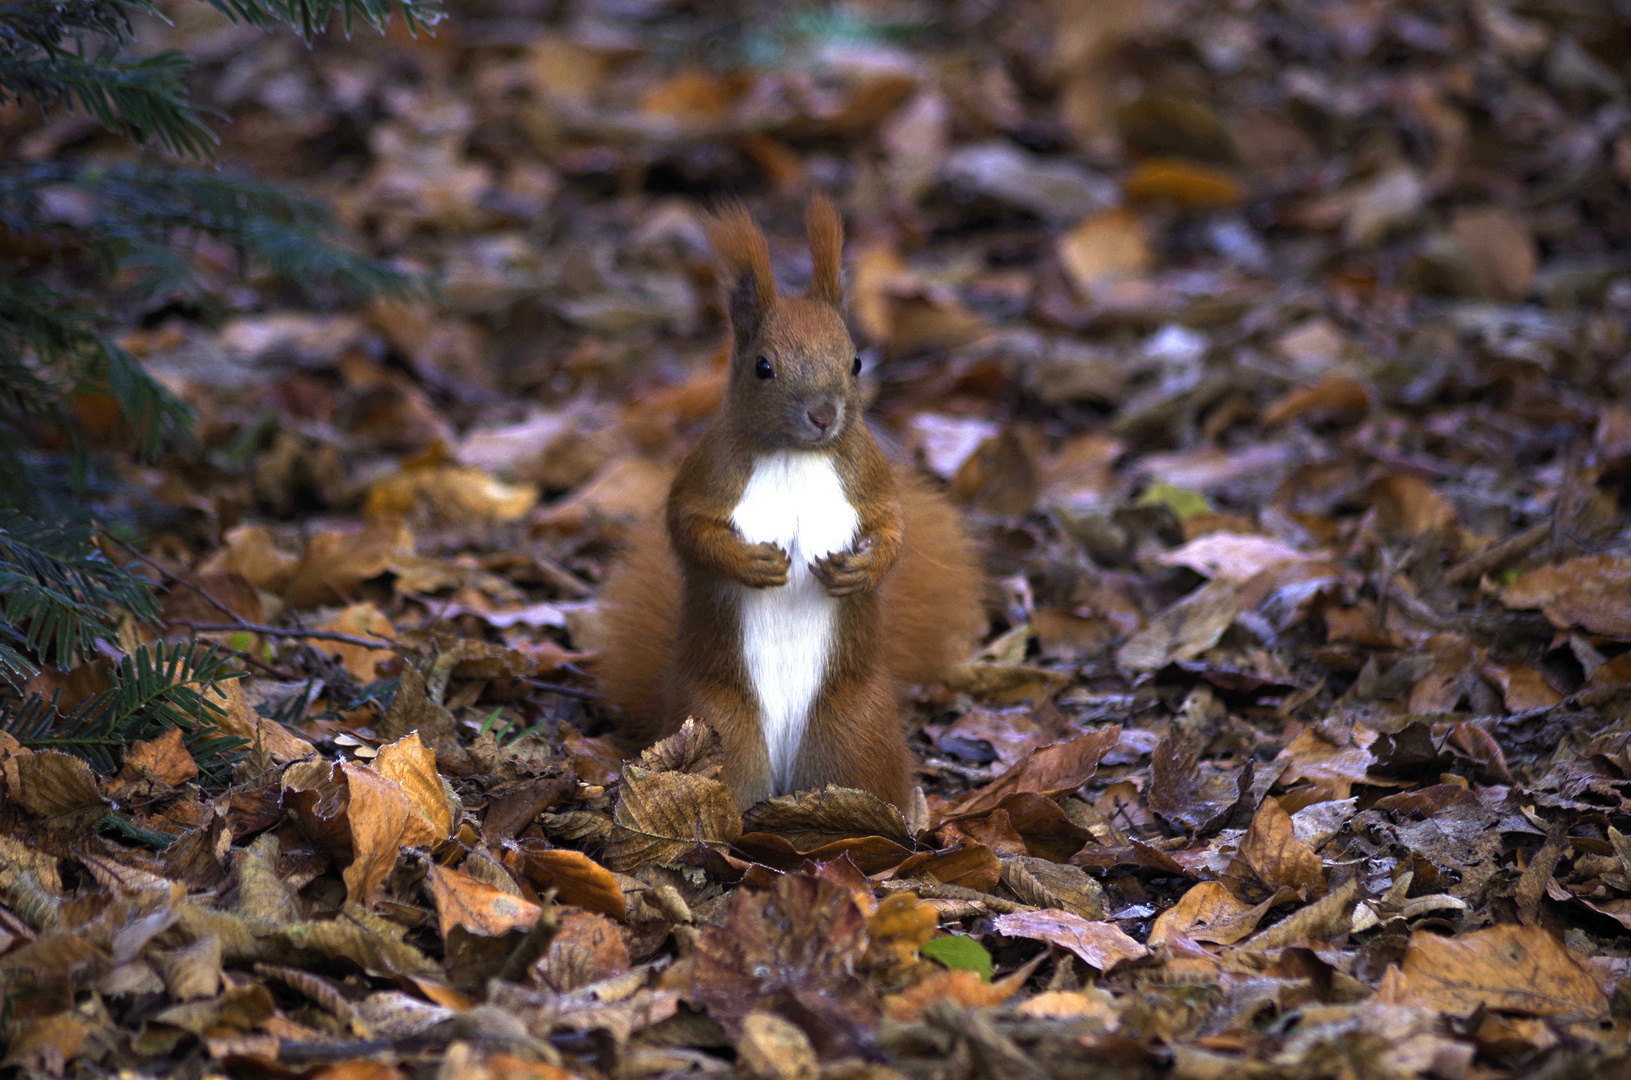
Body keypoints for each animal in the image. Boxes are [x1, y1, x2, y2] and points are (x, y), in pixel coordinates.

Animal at [600, 199, 978, 809]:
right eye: (763, 366)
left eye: (855, 362)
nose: (824, 415)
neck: (796, 455)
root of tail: (779, 770)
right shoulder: (706, 475)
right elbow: (688, 528)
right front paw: (750, 563)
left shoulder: (868, 478)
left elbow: (892, 526)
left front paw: (859, 570)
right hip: (719, 724)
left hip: (852, 729)